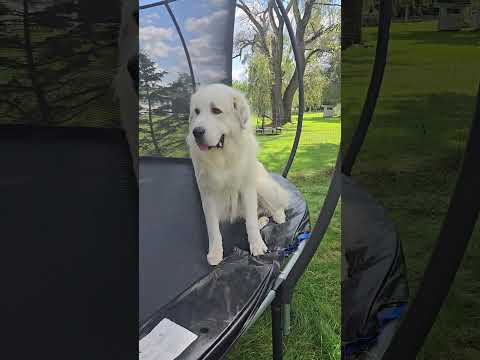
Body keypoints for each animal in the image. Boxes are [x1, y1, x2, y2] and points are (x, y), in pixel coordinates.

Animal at [187, 83, 288, 264]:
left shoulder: (247, 189)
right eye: (196, 112)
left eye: (216, 110)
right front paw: (215, 253)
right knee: (260, 215)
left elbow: (250, 224)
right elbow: (212, 228)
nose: (196, 132)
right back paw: (262, 220)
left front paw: (257, 246)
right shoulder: (207, 194)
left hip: (262, 186)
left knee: (276, 205)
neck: (223, 158)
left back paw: (278, 216)